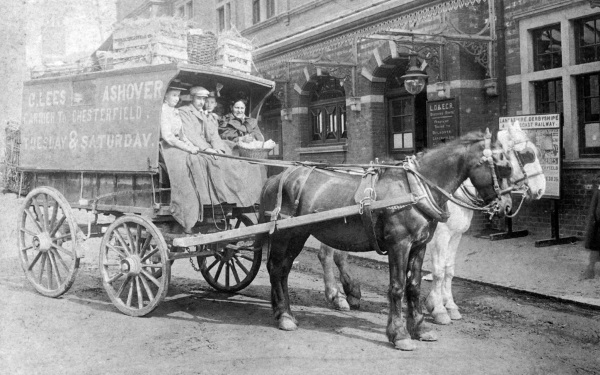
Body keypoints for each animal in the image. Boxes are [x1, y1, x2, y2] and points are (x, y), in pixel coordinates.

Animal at [256, 131, 510, 352]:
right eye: (501, 165)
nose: (506, 206)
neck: (414, 189)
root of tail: (275, 178)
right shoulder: (400, 245)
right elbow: (397, 287)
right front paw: (400, 334)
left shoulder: (419, 245)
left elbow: (414, 285)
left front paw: (420, 328)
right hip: (283, 235)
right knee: (276, 268)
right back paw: (286, 316)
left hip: (298, 234)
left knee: (284, 269)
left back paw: (284, 311)